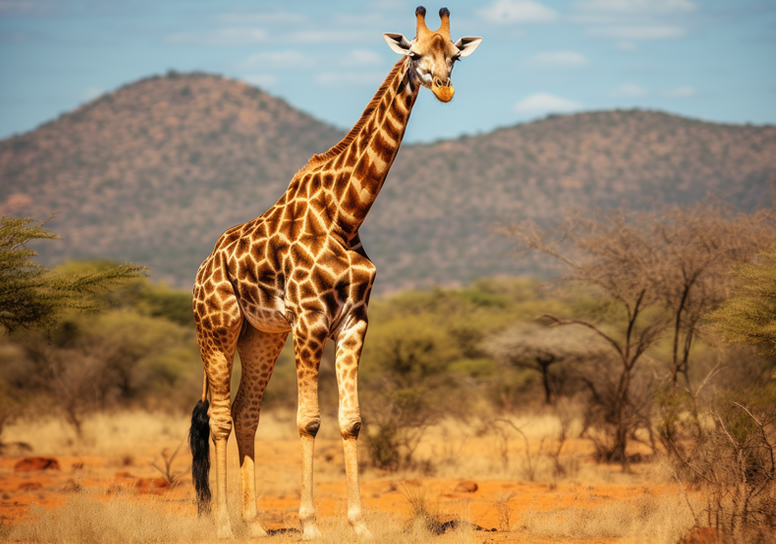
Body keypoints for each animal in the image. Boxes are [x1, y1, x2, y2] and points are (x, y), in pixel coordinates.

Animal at [189, 6, 481, 539]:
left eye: (453, 55)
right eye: (414, 54)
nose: (445, 88)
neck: (346, 214)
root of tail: (201, 271)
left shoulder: (353, 323)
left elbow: (351, 421)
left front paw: (359, 523)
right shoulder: (309, 322)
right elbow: (308, 420)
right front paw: (310, 524)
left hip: (262, 336)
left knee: (245, 413)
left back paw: (254, 524)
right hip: (217, 329)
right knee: (217, 418)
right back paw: (222, 525)